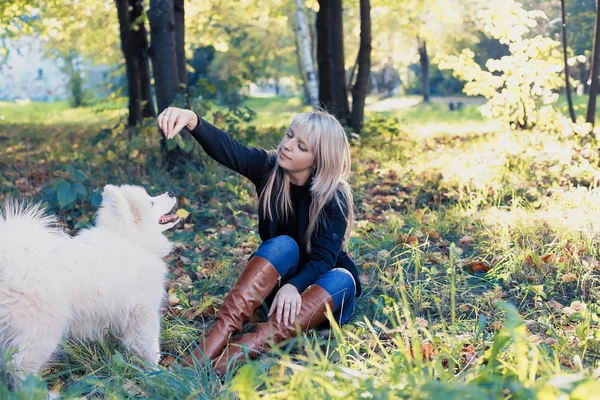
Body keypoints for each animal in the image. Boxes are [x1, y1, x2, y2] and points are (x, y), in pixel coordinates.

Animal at [0, 184, 179, 384]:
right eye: (151, 202)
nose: (171, 192)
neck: (131, 240)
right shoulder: (143, 315)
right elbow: (149, 350)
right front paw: (157, 375)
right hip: (41, 332)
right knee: (20, 367)